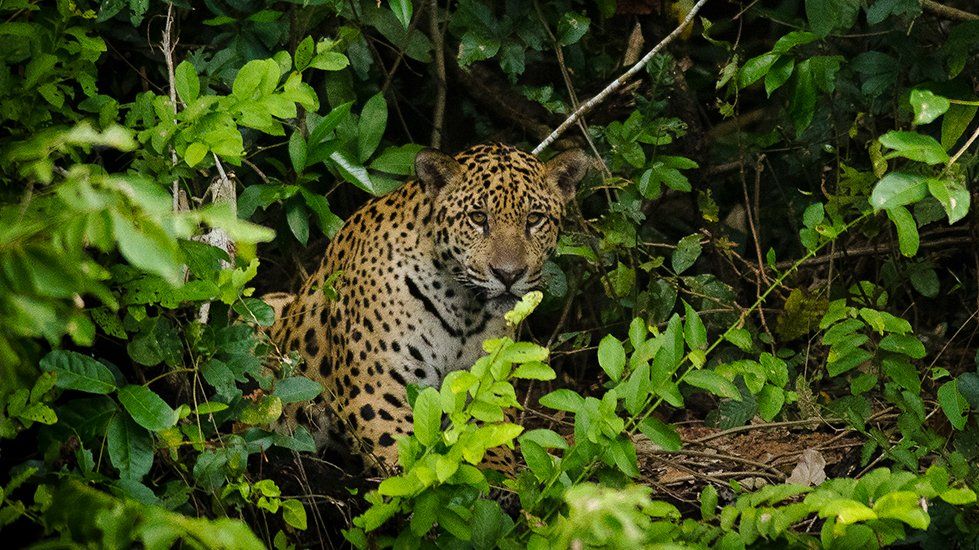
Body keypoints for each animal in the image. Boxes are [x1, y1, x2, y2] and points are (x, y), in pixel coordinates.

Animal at [268, 143, 589, 472]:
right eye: (478, 217)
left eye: (535, 218)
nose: (508, 274)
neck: (463, 309)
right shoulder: (377, 398)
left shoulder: (485, 389)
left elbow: (491, 445)